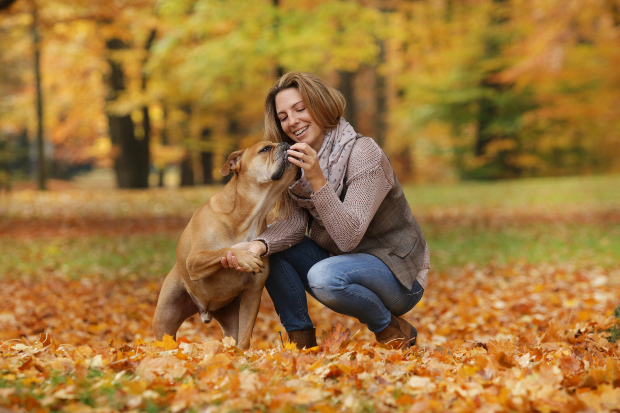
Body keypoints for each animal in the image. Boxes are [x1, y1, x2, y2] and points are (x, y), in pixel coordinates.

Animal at [152, 141, 298, 348]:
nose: (287, 143)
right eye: (265, 149)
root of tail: (205, 310)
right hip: (165, 318)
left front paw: (242, 354)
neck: (250, 214)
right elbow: (224, 250)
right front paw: (244, 257)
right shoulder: (195, 260)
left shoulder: (253, 293)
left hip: (230, 318)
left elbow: (245, 335)